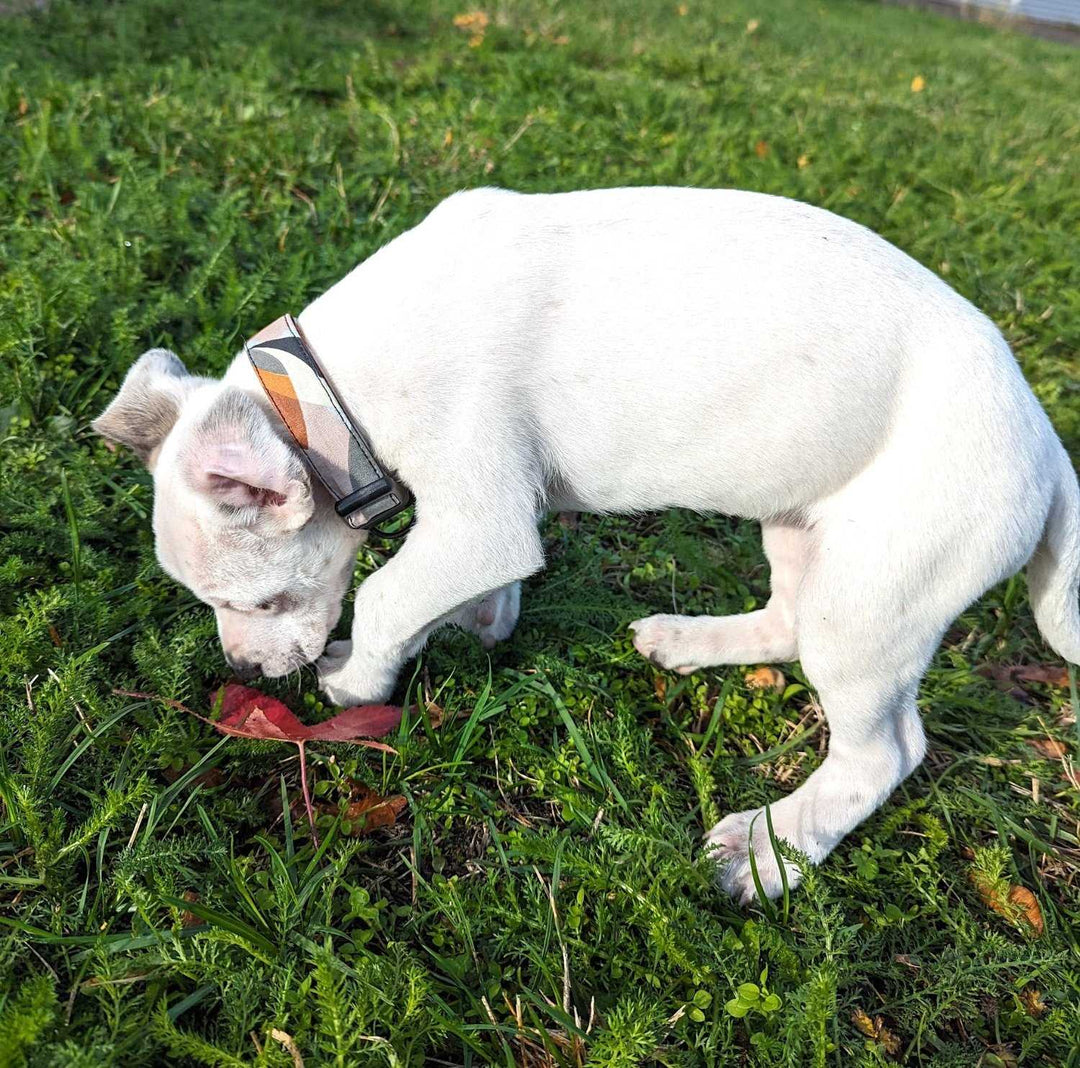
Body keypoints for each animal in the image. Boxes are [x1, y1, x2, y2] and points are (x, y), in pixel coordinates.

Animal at [95, 185, 1080, 898]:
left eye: (261, 602)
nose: (249, 676)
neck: (326, 394)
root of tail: (1046, 440)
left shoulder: (480, 520)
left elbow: (384, 595)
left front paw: (357, 680)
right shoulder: (489, 524)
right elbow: (447, 595)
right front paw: (473, 628)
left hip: (875, 601)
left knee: (883, 753)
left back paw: (771, 850)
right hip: (803, 526)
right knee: (787, 622)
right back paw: (689, 643)